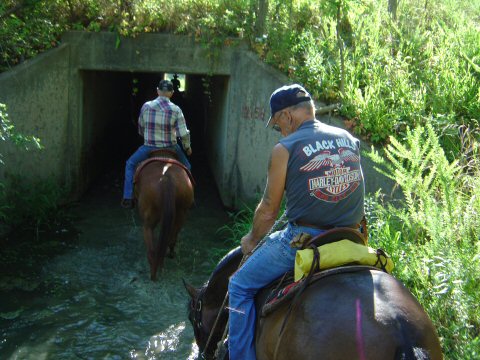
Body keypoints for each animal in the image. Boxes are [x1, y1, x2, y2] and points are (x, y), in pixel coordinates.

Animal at [134, 149, 194, 282]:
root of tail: (166, 178)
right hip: (181, 213)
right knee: (171, 236)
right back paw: (167, 256)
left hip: (149, 217)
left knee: (150, 243)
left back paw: (154, 272)